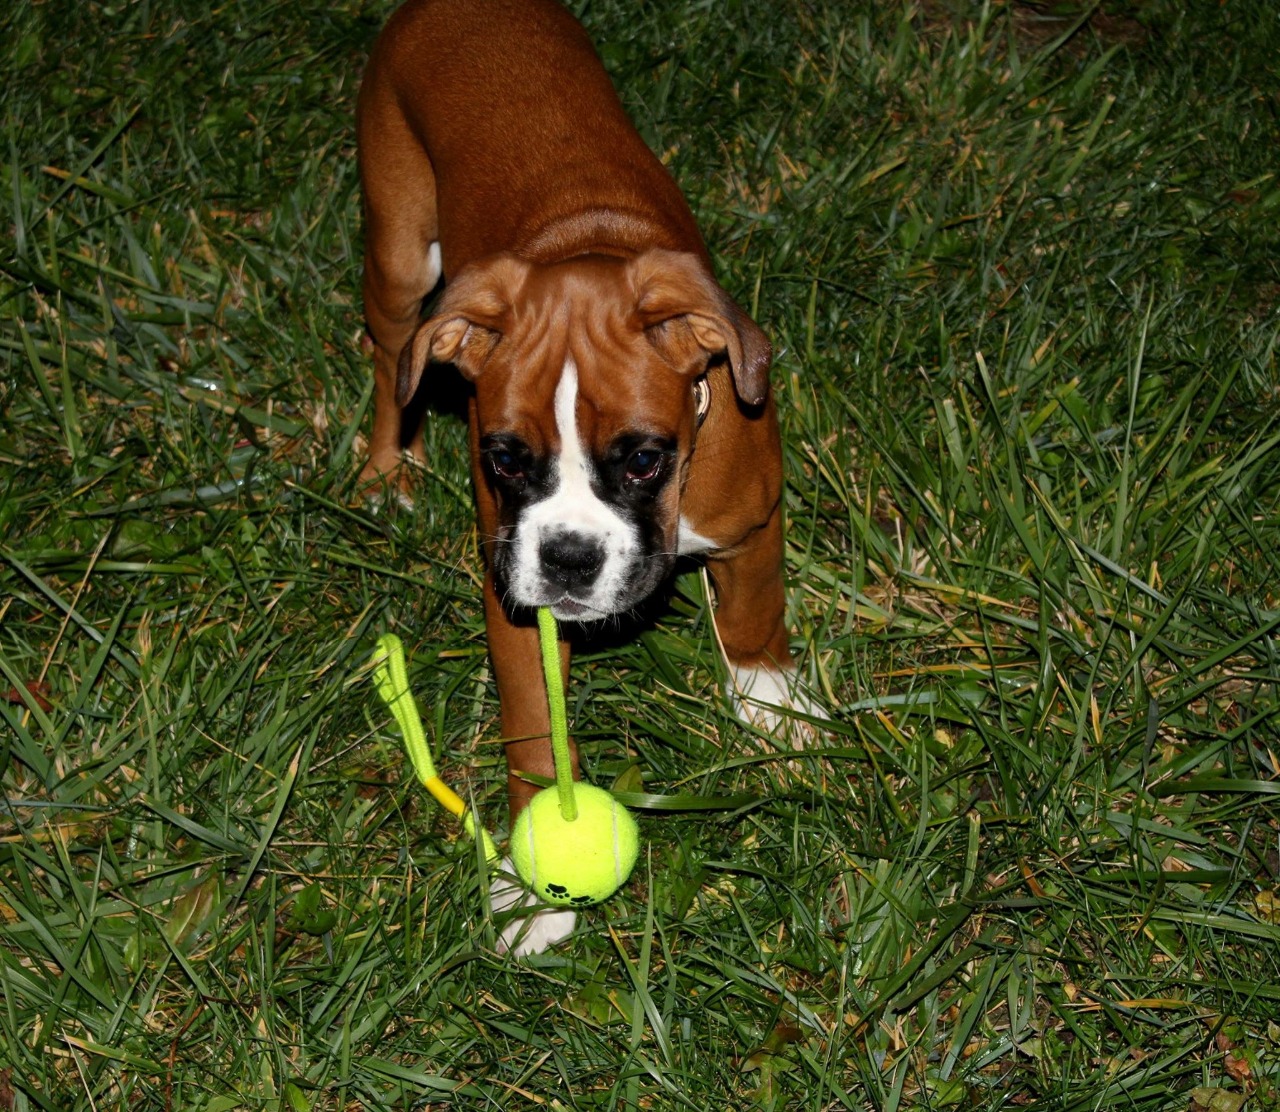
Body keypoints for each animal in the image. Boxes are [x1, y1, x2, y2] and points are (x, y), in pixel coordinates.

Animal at [358, 0, 821, 953]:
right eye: (502, 457)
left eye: (644, 457)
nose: (569, 560)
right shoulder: (514, 604)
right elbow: (536, 730)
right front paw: (535, 891)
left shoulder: (752, 523)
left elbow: (756, 617)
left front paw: (774, 708)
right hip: (400, 254)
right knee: (393, 363)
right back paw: (388, 469)